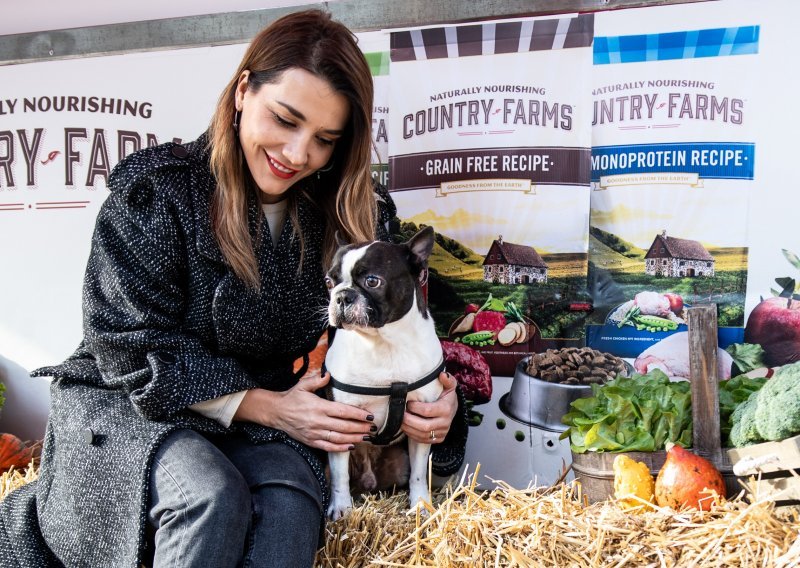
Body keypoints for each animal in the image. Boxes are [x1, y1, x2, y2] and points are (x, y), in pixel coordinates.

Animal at [326, 226, 450, 520]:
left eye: (372, 281)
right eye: (328, 282)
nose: (341, 296)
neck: (384, 342)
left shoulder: (422, 423)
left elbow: (419, 473)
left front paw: (420, 505)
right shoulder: (340, 424)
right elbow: (339, 476)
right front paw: (341, 508)